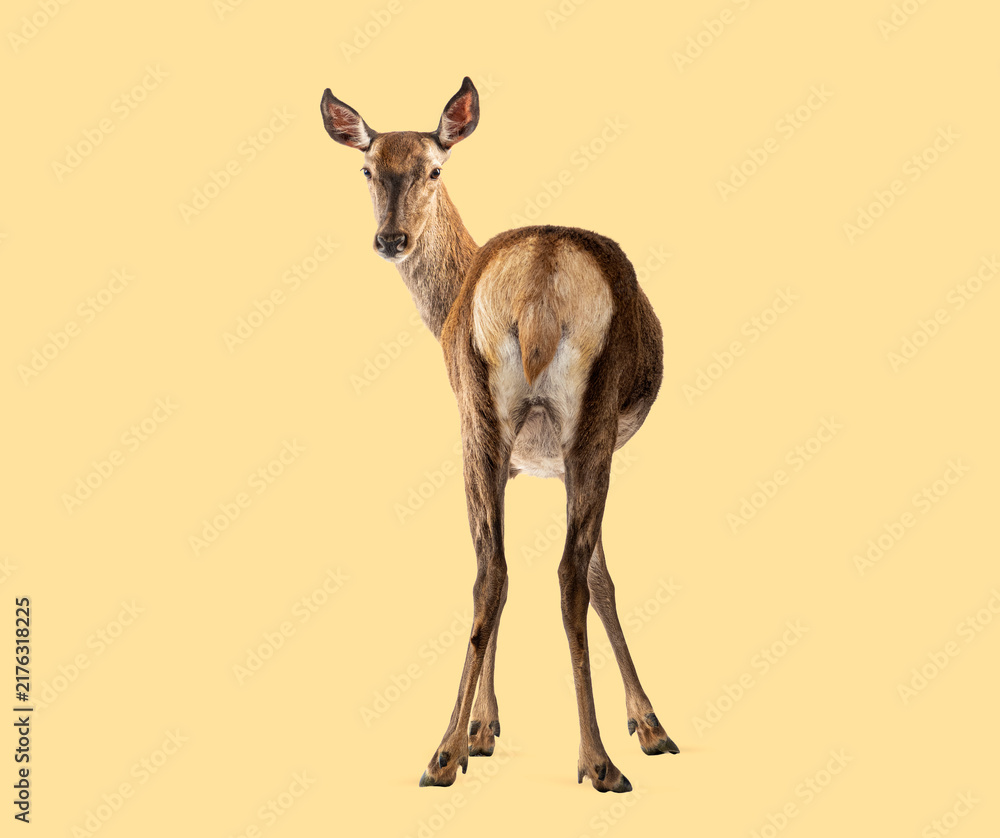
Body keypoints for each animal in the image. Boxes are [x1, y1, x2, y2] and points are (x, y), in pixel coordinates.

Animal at [321, 77, 678, 793]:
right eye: (368, 168)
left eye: (434, 167)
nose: (391, 238)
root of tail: (539, 284)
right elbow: (594, 576)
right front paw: (646, 726)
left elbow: (564, 576)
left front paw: (481, 731)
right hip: (578, 425)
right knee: (553, 572)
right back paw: (591, 761)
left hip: (495, 424)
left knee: (506, 571)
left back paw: (451, 753)